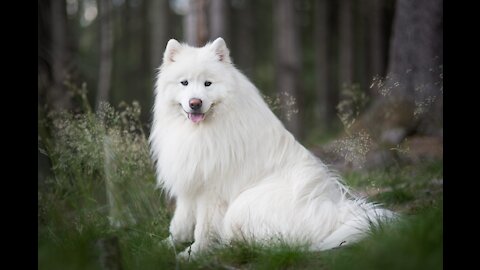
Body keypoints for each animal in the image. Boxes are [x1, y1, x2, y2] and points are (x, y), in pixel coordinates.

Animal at [149, 37, 394, 258]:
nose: (195, 103)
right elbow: (180, 223)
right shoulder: (190, 181)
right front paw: (164, 245)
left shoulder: (212, 191)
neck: (200, 131)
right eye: (184, 83)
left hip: (243, 205)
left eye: (208, 84)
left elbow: (204, 230)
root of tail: (335, 214)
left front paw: (192, 254)